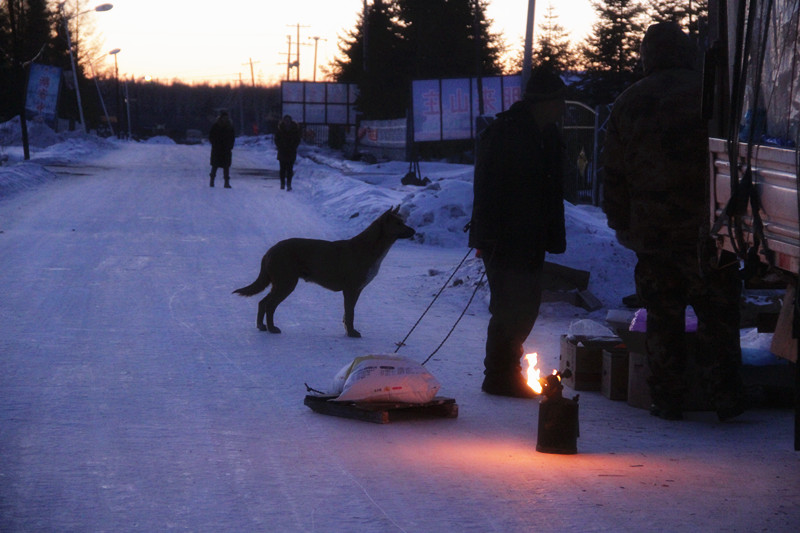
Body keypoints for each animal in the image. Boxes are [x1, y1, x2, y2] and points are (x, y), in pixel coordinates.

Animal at [231, 205, 416, 336]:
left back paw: (261, 326)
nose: (414, 231)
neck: (369, 247)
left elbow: (347, 314)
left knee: (262, 303)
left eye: (403, 221)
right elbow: (350, 313)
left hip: (280, 283)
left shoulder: (356, 291)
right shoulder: (350, 290)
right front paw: (351, 333)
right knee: (269, 305)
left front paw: (348, 330)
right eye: (398, 223)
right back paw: (272, 328)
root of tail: (269, 251)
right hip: (286, 283)